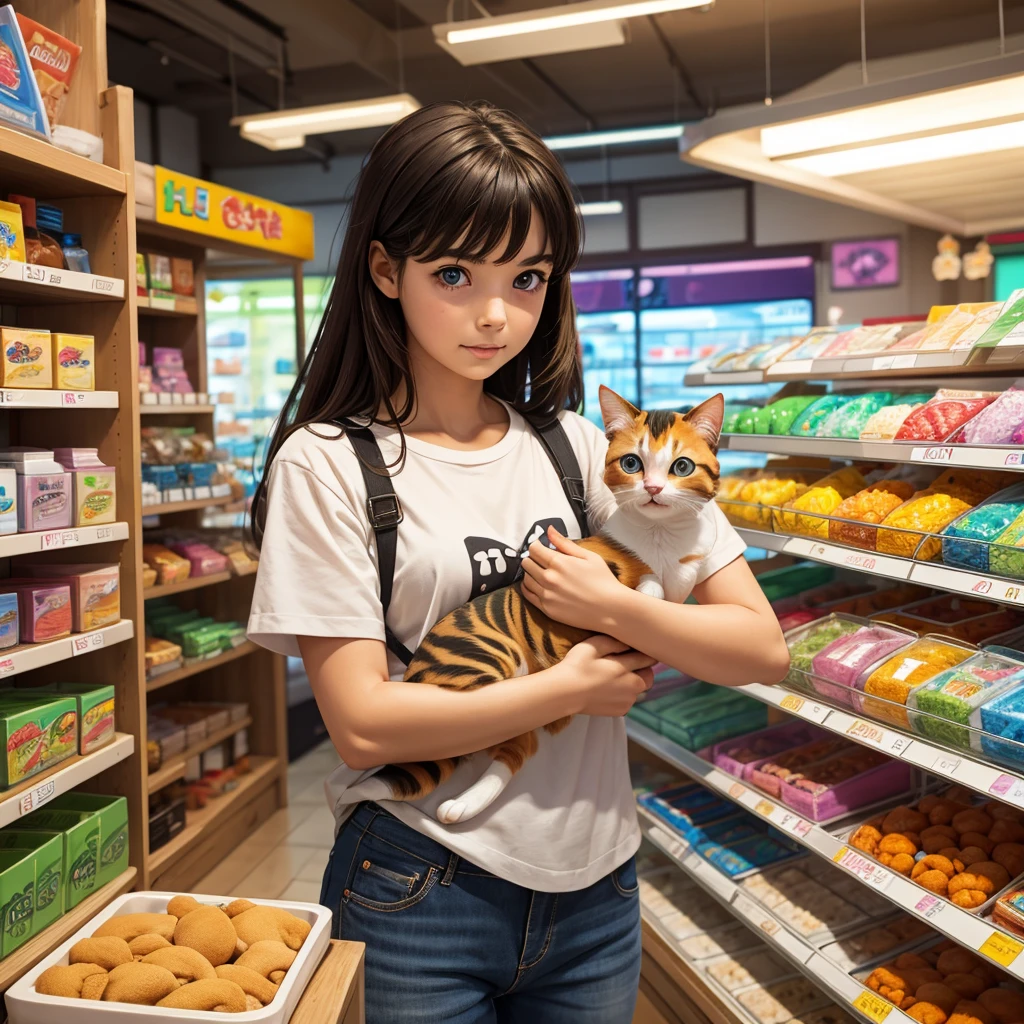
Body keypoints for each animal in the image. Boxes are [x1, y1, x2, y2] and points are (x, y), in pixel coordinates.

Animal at [368, 385, 729, 823]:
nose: (654, 489)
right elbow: (644, 586)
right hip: (486, 665)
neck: (661, 539)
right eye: (632, 463)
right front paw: (640, 595)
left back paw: (462, 805)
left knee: (515, 748)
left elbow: (673, 591)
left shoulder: (685, 572)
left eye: (681, 466)